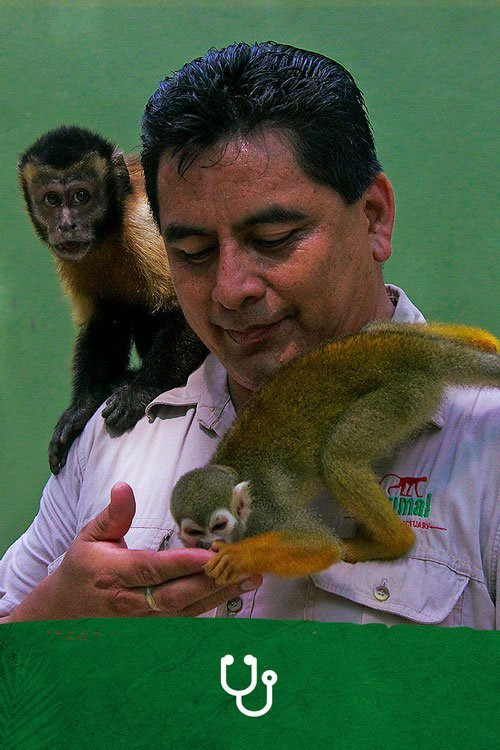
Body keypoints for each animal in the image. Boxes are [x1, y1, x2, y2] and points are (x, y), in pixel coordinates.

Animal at [18, 125, 208, 474]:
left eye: (82, 196)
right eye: (51, 200)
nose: (66, 224)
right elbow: (105, 319)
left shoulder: (146, 227)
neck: (112, 227)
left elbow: (191, 310)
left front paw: (140, 391)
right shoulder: (73, 257)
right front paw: (82, 407)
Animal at [170, 322, 500, 586]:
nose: (209, 543)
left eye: (218, 526)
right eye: (195, 533)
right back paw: (484, 341)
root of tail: (414, 350)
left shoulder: (264, 512)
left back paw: (395, 542)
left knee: (336, 458)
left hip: (402, 395)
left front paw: (235, 556)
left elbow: (320, 545)